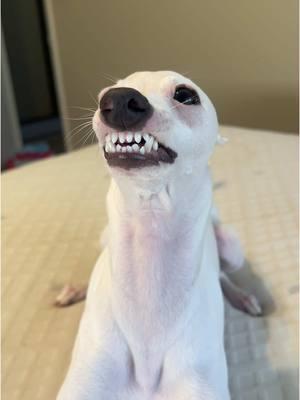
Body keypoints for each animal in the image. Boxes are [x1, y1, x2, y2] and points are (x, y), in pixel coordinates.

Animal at [57, 72, 262, 400]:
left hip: (231, 246)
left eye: (186, 95)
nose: (118, 100)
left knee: (223, 273)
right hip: (104, 239)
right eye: (107, 90)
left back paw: (242, 296)